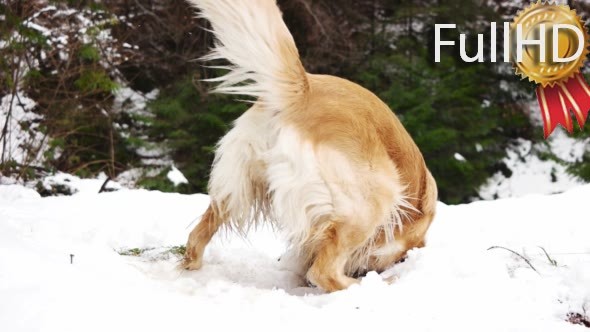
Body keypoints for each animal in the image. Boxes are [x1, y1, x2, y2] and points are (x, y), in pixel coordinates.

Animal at [182, 0, 440, 290]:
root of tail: (302, 92)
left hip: (237, 187)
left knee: (196, 236)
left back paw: (190, 265)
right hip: (372, 198)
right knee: (324, 271)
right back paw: (367, 286)